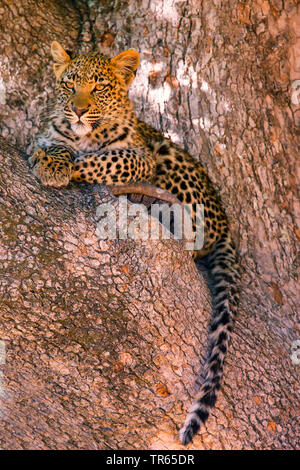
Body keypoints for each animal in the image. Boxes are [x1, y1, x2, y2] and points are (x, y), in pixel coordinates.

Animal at [29, 41, 239, 444]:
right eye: (69, 84)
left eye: (99, 87)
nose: (78, 110)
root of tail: (226, 222)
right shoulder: (49, 134)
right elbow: (54, 144)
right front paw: (50, 160)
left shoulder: (139, 157)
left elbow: (105, 159)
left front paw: (64, 165)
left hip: (172, 165)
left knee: (193, 238)